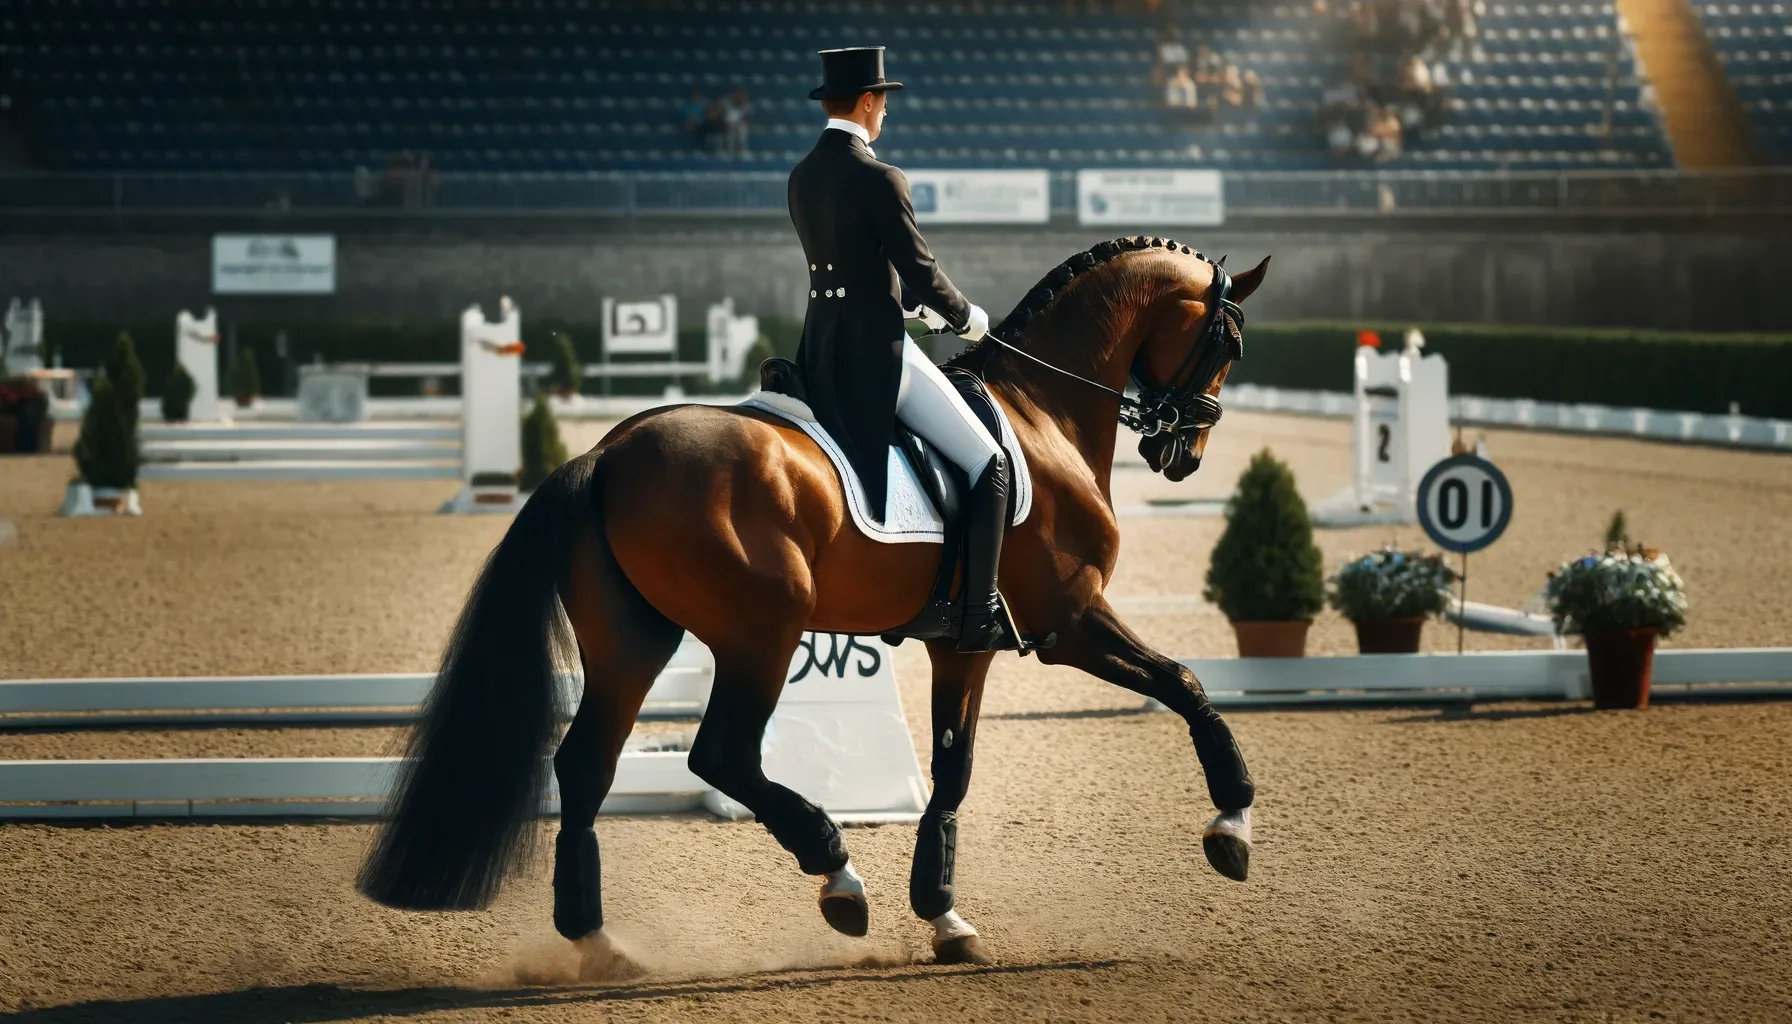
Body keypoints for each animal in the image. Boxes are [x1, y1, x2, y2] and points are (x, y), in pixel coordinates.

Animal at [357, 234, 1270, 975]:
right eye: (1228, 341)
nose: (1184, 453)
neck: (1042, 416)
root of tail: (608, 452)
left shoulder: (963, 644)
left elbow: (955, 768)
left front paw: (945, 919)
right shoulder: (1069, 621)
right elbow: (1186, 683)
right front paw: (1231, 828)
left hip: (634, 641)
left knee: (587, 764)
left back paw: (598, 943)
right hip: (762, 631)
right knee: (722, 757)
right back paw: (838, 877)